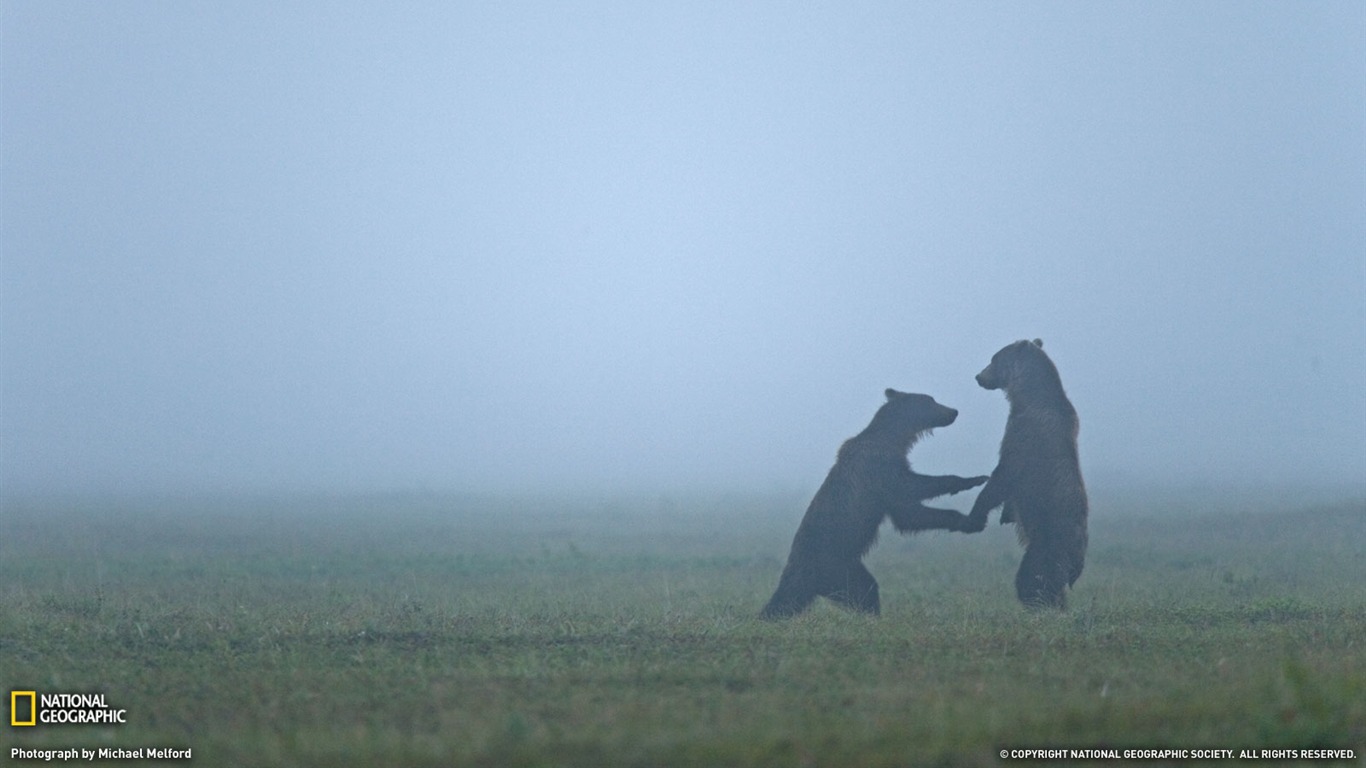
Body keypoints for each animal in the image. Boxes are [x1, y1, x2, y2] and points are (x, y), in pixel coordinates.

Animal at [759, 388, 994, 614]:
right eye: (931, 400)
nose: (954, 411)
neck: (895, 440)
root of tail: (795, 567)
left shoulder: (887, 487)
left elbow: (909, 515)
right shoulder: (880, 470)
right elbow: (911, 493)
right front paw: (973, 485)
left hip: (848, 566)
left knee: (863, 587)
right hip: (832, 563)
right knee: (855, 592)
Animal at [967, 337, 1092, 606]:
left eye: (993, 359)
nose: (978, 376)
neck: (1027, 396)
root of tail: (1078, 560)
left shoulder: (1024, 433)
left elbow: (1003, 475)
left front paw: (976, 515)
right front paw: (1006, 514)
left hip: (1049, 542)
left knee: (1033, 578)